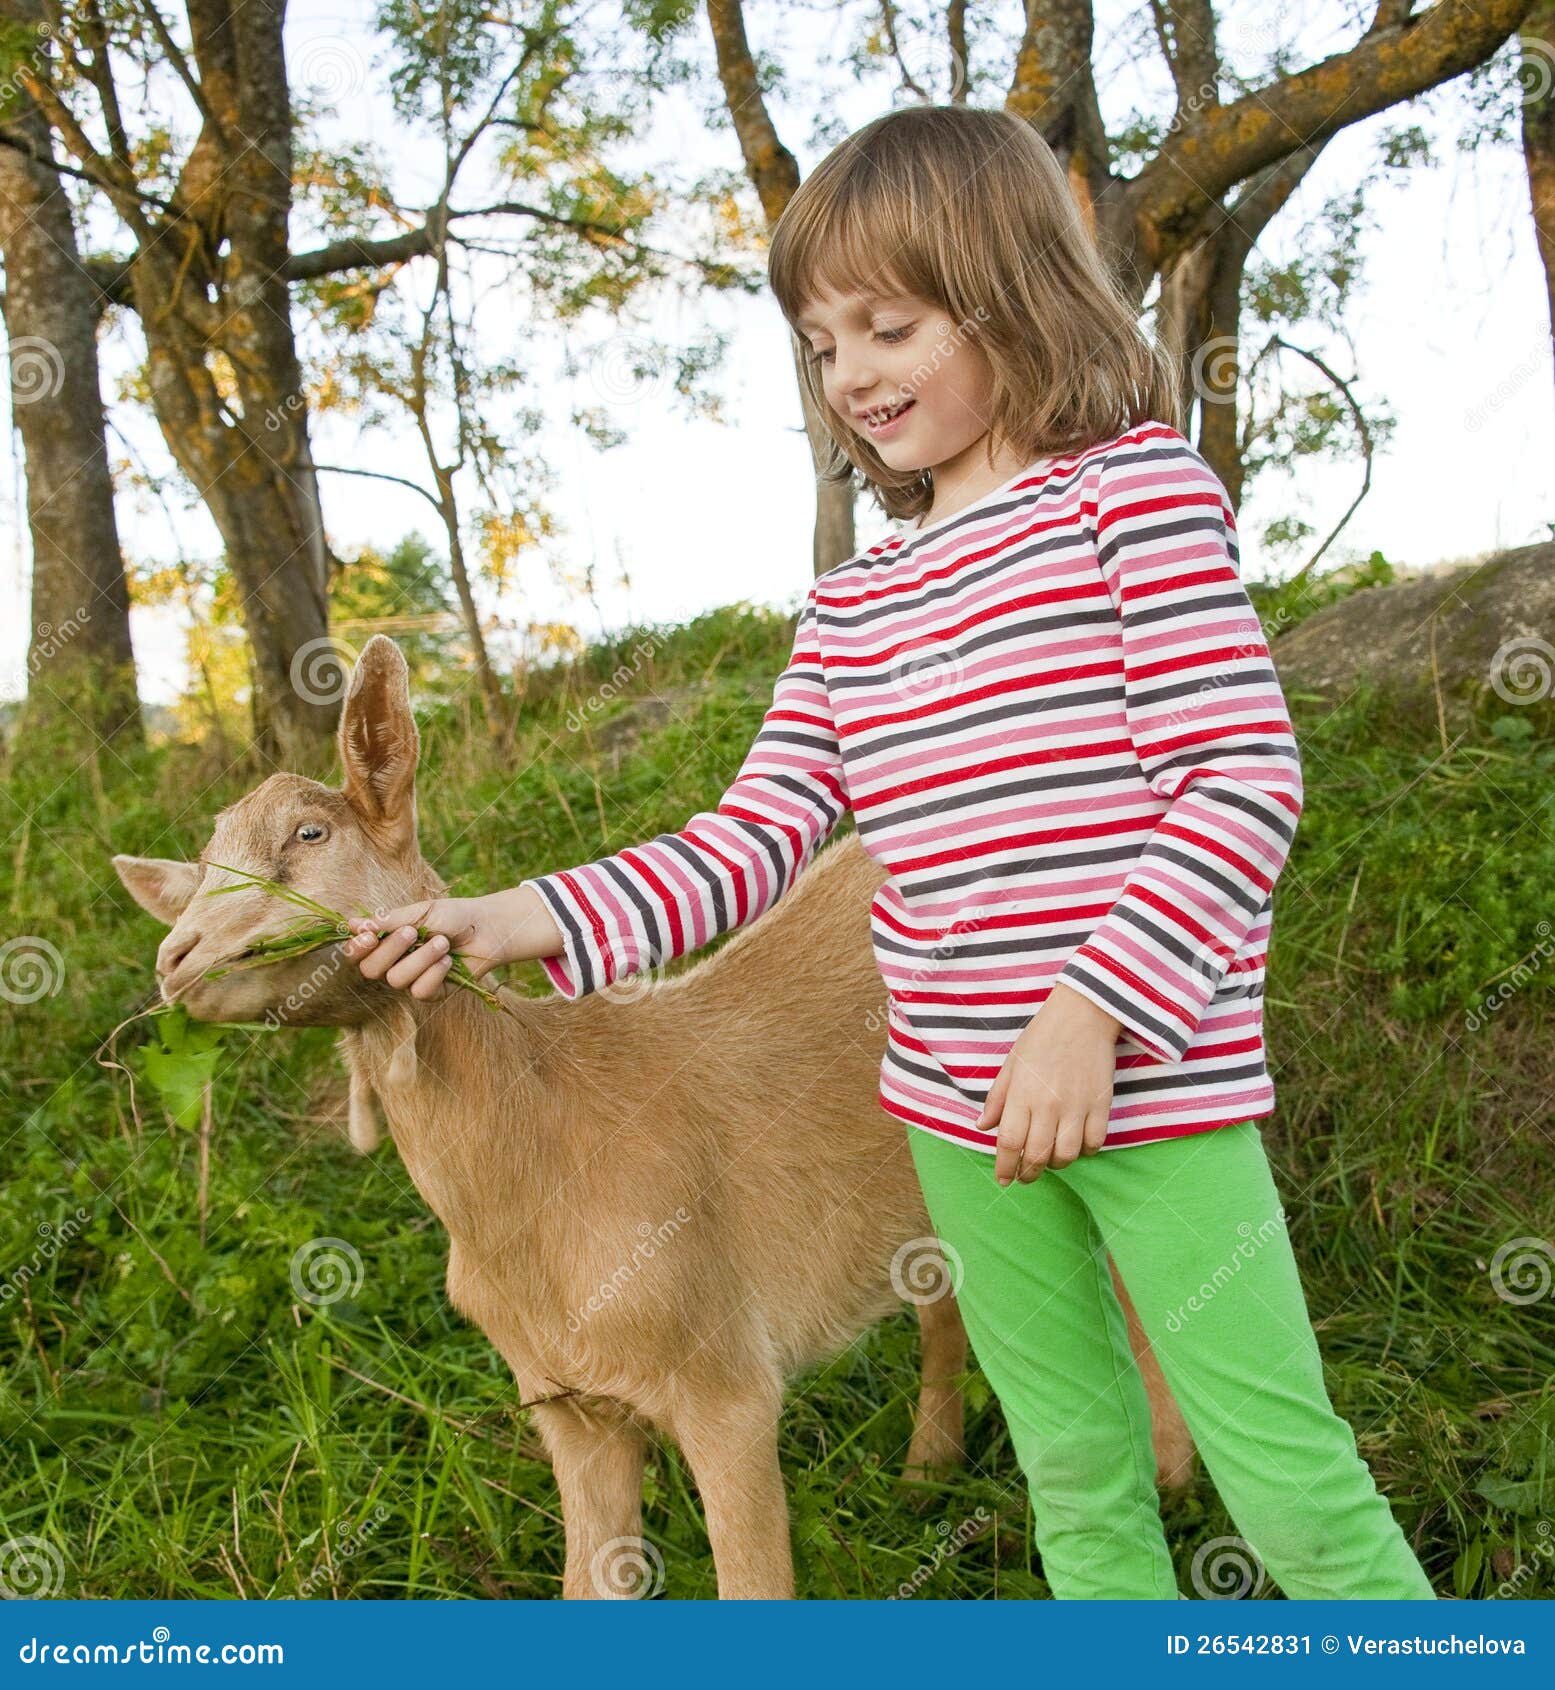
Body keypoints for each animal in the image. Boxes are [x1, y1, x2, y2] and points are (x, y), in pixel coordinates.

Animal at [114, 635, 1192, 1599]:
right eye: (201, 862)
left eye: (310, 835)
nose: (176, 958)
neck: (540, 1149)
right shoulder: (568, 1406)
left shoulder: (724, 1383)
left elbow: (754, 1585)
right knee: (941, 1295)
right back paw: (927, 1473)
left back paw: (1174, 1481)